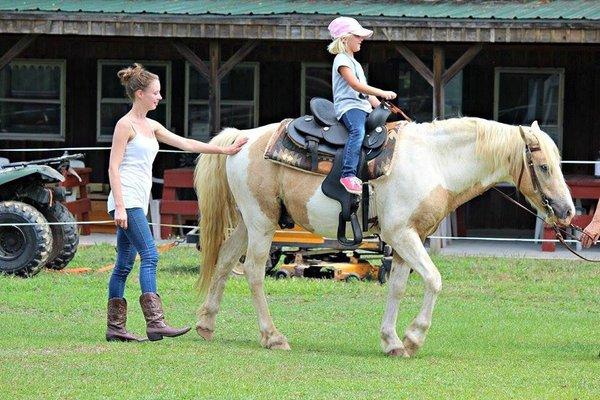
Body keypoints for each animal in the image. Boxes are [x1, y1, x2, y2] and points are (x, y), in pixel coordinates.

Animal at [195, 116, 576, 356]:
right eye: (544, 167)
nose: (568, 211)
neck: (434, 162)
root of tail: (242, 137)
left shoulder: (409, 239)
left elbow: (397, 287)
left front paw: (392, 341)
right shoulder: (402, 233)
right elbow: (434, 279)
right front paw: (414, 337)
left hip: (249, 223)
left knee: (225, 261)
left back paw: (206, 324)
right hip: (261, 222)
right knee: (255, 271)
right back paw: (273, 337)